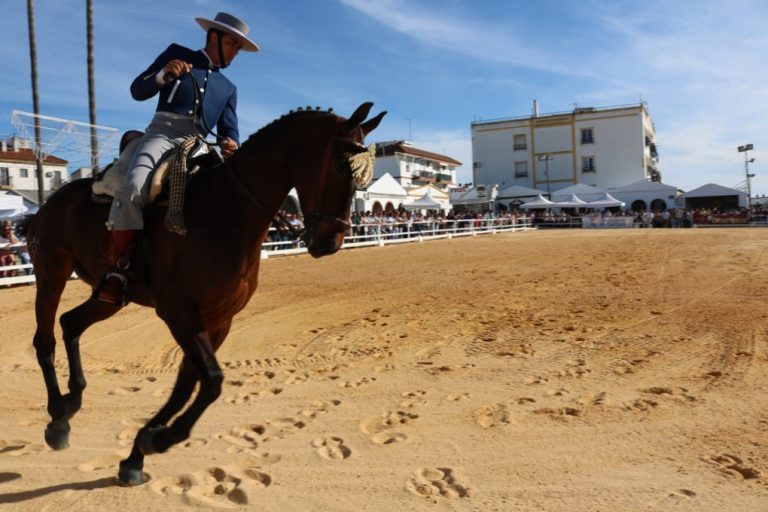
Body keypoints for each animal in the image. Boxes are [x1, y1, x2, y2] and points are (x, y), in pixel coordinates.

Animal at [25, 101, 386, 485]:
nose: (330, 241)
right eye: (340, 163)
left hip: (109, 296)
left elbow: (188, 383)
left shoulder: (218, 319)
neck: (225, 212)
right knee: (45, 340)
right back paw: (58, 419)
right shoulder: (180, 314)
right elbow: (211, 380)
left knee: (71, 323)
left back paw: (72, 401)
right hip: (51, 276)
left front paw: (139, 452)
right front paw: (161, 439)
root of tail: (52, 200)